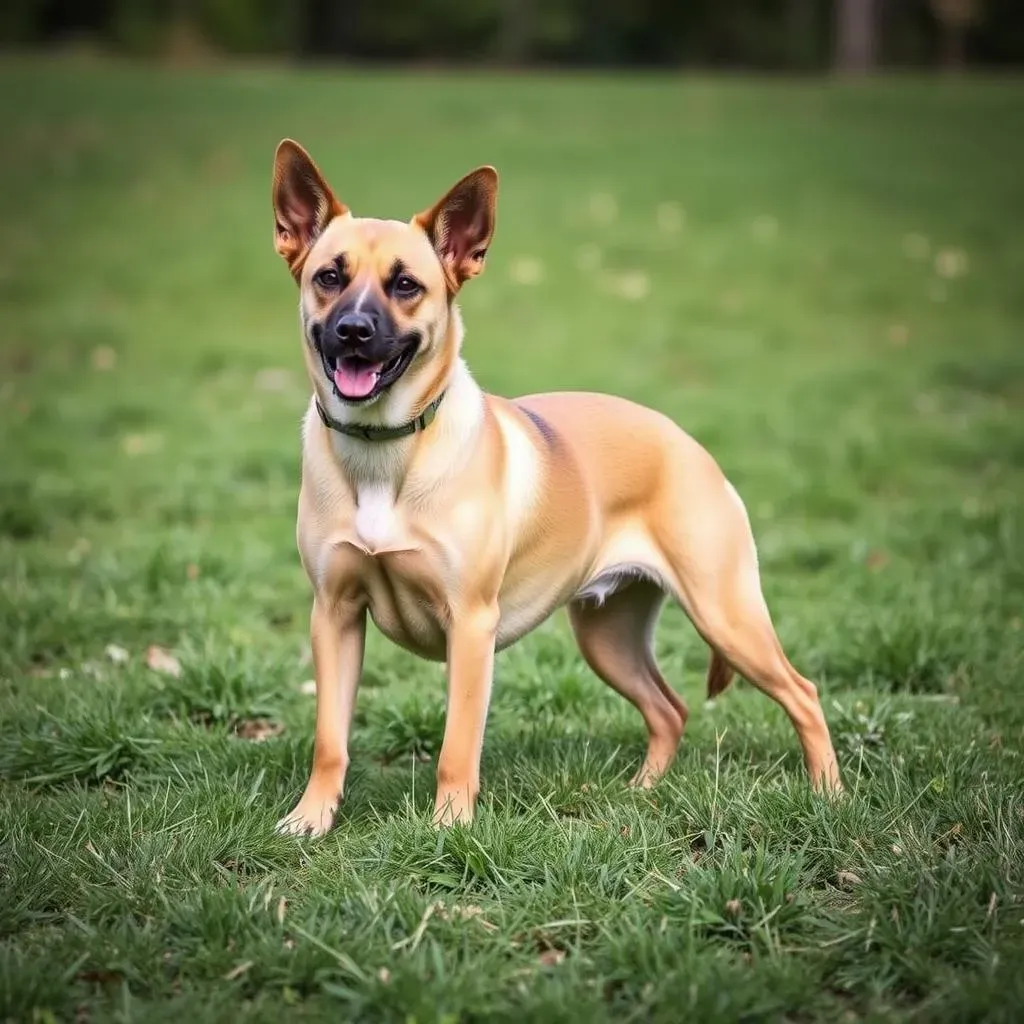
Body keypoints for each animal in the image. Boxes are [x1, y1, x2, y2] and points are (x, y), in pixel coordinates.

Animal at [272, 140, 839, 835]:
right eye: (329, 276)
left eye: (406, 285)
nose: (352, 329)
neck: (386, 448)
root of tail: (689, 445)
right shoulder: (334, 615)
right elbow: (330, 739)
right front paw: (311, 820)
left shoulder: (471, 627)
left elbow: (457, 746)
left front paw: (449, 828)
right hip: (608, 636)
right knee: (669, 708)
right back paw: (642, 792)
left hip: (725, 615)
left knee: (802, 693)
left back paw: (830, 796)